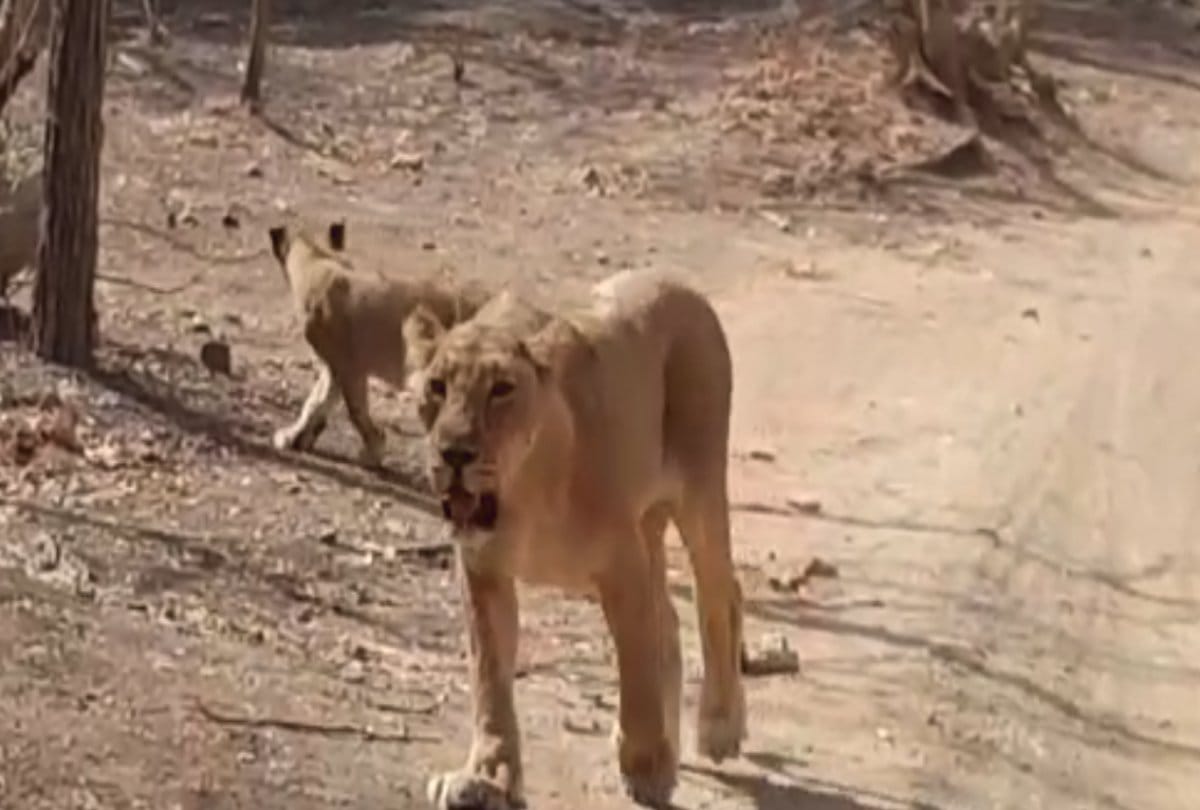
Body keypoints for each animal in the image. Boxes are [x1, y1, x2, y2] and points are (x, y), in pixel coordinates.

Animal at [267, 221, 488, 467]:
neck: (321, 263)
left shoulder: (349, 368)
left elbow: (355, 410)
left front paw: (373, 450)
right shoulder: (334, 367)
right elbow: (316, 402)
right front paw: (296, 436)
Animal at [405, 270, 747, 809]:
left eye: (502, 390)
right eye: (437, 386)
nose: (454, 452)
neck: (522, 493)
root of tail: (677, 283)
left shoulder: (621, 564)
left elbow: (636, 667)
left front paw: (646, 766)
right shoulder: (482, 571)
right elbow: (490, 678)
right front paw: (485, 777)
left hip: (700, 487)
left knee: (719, 597)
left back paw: (719, 726)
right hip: (648, 526)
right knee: (669, 622)